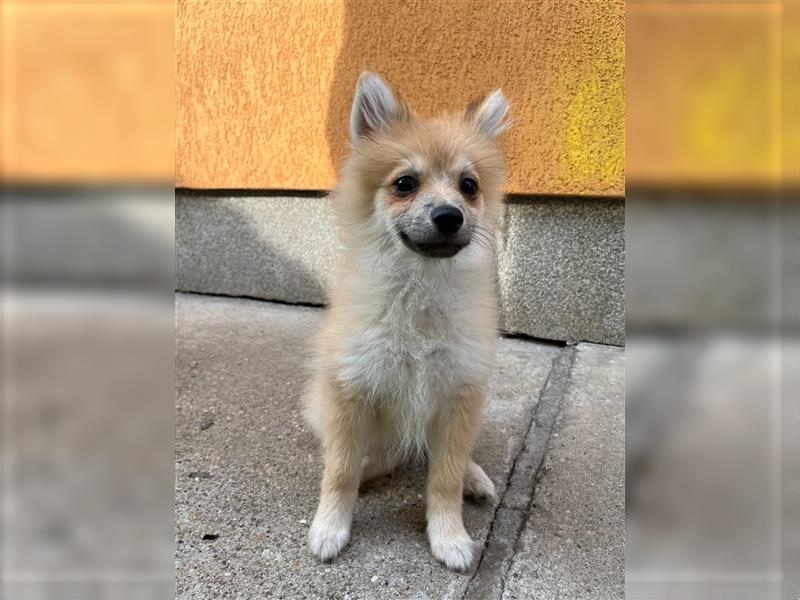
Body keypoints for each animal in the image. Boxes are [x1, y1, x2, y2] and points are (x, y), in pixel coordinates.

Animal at [304, 72, 510, 568]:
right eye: (404, 183)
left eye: (469, 185)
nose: (449, 215)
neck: (420, 290)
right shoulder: (349, 393)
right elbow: (340, 470)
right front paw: (330, 527)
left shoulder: (458, 395)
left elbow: (444, 478)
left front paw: (450, 536)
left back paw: (474, 476)